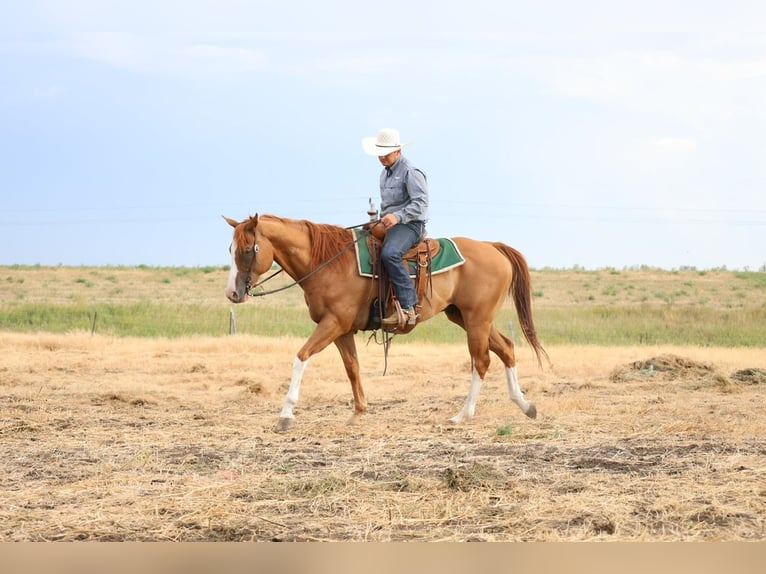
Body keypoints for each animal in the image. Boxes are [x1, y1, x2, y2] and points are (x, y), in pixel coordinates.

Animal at [224, 214, 548, 431]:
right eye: (230, 249)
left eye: (247, 249)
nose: (232, 293)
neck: (328, 261)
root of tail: (492, 247)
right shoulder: (342, 330)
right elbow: (352, 368)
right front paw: (359, 412)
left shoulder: (332, 324)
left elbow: (300, 358)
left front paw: (285, 415)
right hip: (466, 317)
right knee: (506, 348)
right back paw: (525, 405)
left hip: (476, 319)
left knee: (481, 361)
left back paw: (462, 415)